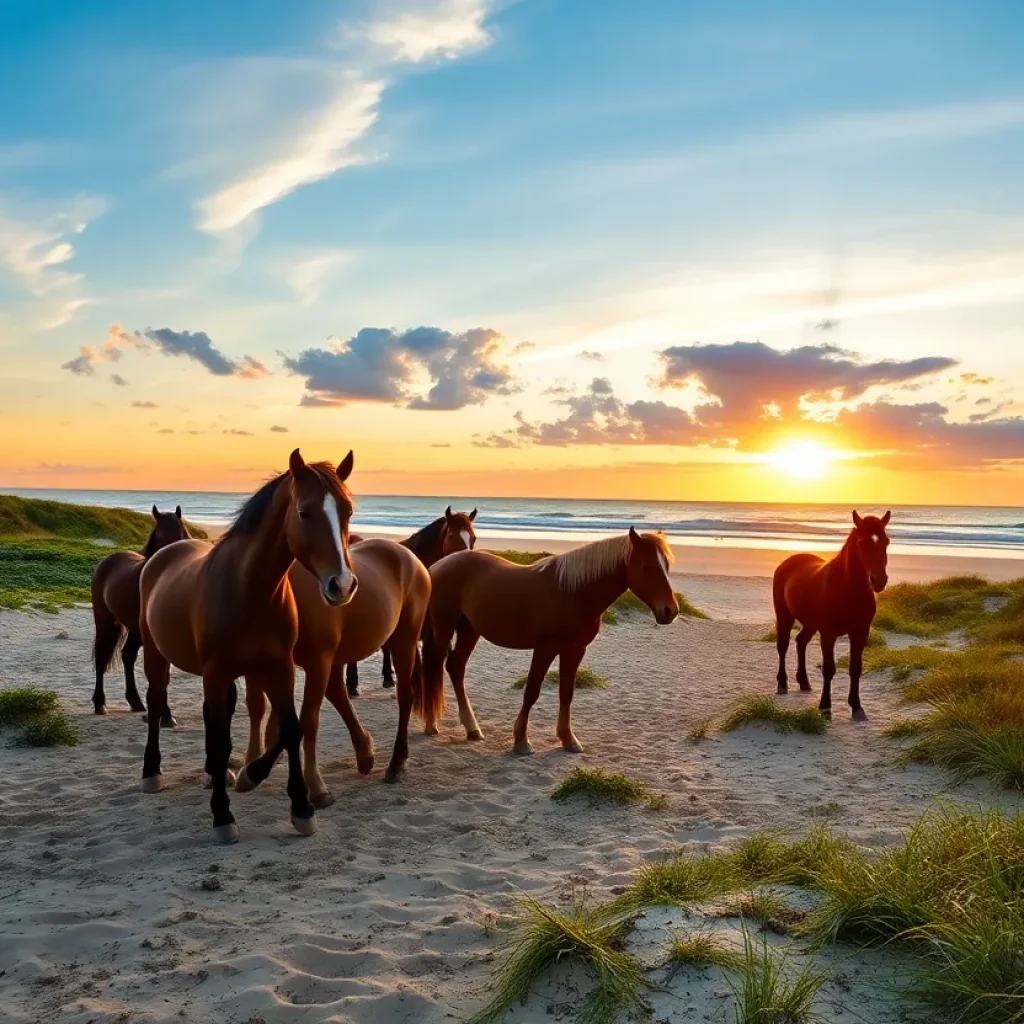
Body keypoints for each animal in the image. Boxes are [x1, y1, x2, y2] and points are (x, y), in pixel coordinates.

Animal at [90, 505, 189, 719]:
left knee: (127, 656)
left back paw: (135, 701)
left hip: (134, 630)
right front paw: (165, 715)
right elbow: (160, 675)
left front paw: (165, 715)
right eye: (159, 532)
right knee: (102, 657)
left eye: (181, 531)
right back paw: (100, 704)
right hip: (105, 621)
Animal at [138, 449, 358, 843]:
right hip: (156, 655)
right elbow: (223, 740)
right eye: (305, 512)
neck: (249, 590)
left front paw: (292, 802)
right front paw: (223, 816)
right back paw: (152, 773)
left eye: (348, 511)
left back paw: (216, 773)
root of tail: (164, 555)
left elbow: (290, 729)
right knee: (157, 699)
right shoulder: (217, 671)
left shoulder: (279, 668)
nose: (342, 584)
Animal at [239, 538, 431, 806]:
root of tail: (410, 558)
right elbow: (266, 710)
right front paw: (253, 768)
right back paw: (365, 754)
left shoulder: (317, 660)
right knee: (338, 693)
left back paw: (396, 763)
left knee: (405, 696)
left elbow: (305, 720)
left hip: (404, 640)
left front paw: (314, 787)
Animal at [418, 528, 679, 754]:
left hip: (469, 630)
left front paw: (568, 739)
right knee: (434, 666)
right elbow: (532, 691)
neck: (574, 592)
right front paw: (521, 742)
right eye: (647, 567)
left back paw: (472, 729)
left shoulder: (575, 650)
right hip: (444, 628)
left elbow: (566, 693)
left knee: (455, 667)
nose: (670, 611)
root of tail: (438, 565)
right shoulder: (545, 648)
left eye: (666, 566)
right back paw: (431, 724)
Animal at [772, 510, 891, 721]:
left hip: (811, 624)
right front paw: (825, 707)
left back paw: (804, 682)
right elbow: (829, 669)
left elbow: (855, 668)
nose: (879, 581)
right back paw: (782, 685)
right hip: (784, 616)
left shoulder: (860, 633)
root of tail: (787, 562)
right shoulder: (828, 634)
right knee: (783, 647)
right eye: (861, 541)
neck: (847, 589)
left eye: (886, 541)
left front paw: (857, 708)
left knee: (800, 641)